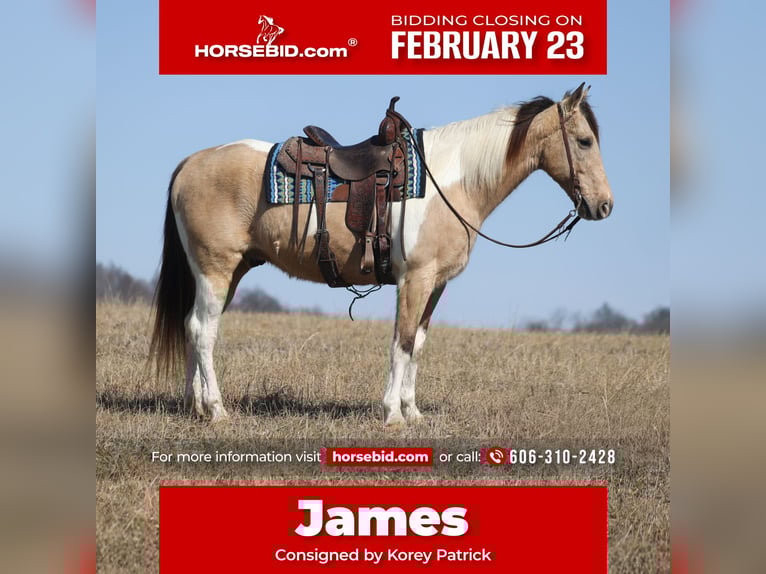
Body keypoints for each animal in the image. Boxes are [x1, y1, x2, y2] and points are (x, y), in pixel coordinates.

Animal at [150, 83, 613, 424]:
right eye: (584, 141)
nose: (604, 206)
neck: (452, 181)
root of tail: (191, 162)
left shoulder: (435, 284)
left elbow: (418, 344)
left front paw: (413, 412)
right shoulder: (415, 278)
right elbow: (402, 342)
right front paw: (392, 414)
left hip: (229, 271)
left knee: (192, 327)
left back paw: (194, 406)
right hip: (215, 268)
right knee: (203, 331)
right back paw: (216, 410)